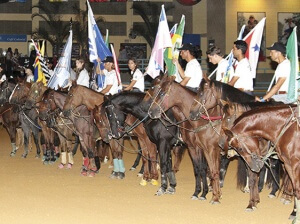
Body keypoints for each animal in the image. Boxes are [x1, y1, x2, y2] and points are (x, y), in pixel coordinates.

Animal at [148, 75, 223, 203]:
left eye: (161, 92)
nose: (151, 111)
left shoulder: (199, 148)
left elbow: (202, 168)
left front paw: (203, 193)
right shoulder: (191, 147)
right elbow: (197, 168)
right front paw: (198, 192)